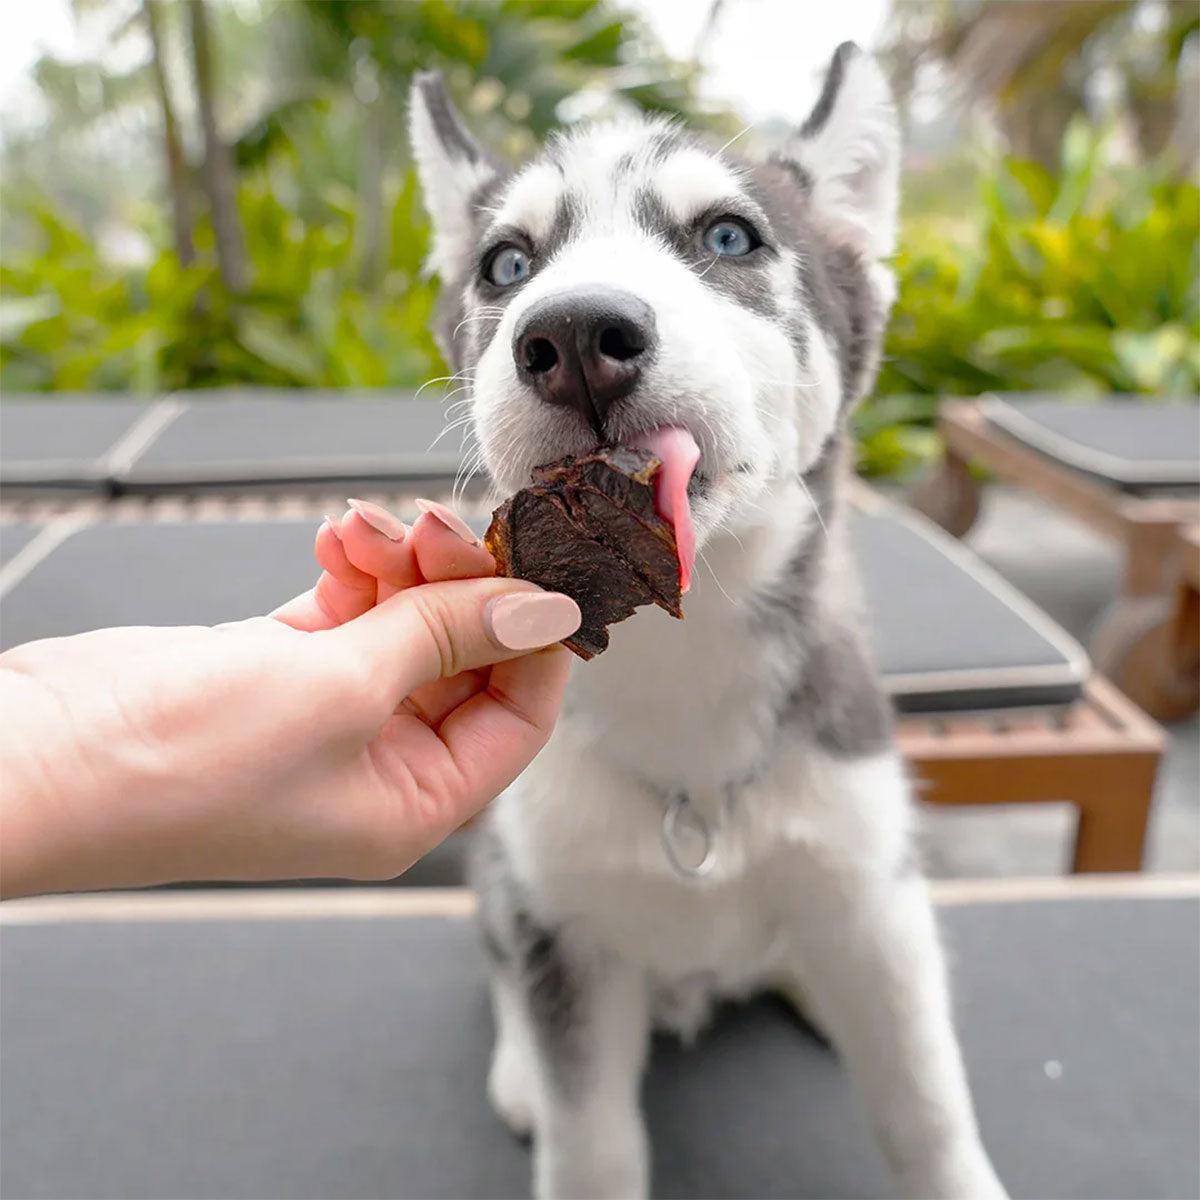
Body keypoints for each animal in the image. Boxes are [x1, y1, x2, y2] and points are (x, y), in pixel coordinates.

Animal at [408, 42, 1008, 1195]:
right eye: (506, 265)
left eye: (729, 236)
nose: (573, 335)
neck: (686, 665)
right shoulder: (565, 930)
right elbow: (590, 1142)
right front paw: (550, 1097)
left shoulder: (871, 883)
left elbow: (927, 1108)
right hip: (510, 871)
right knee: (498, 951)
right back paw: (516, 1068)